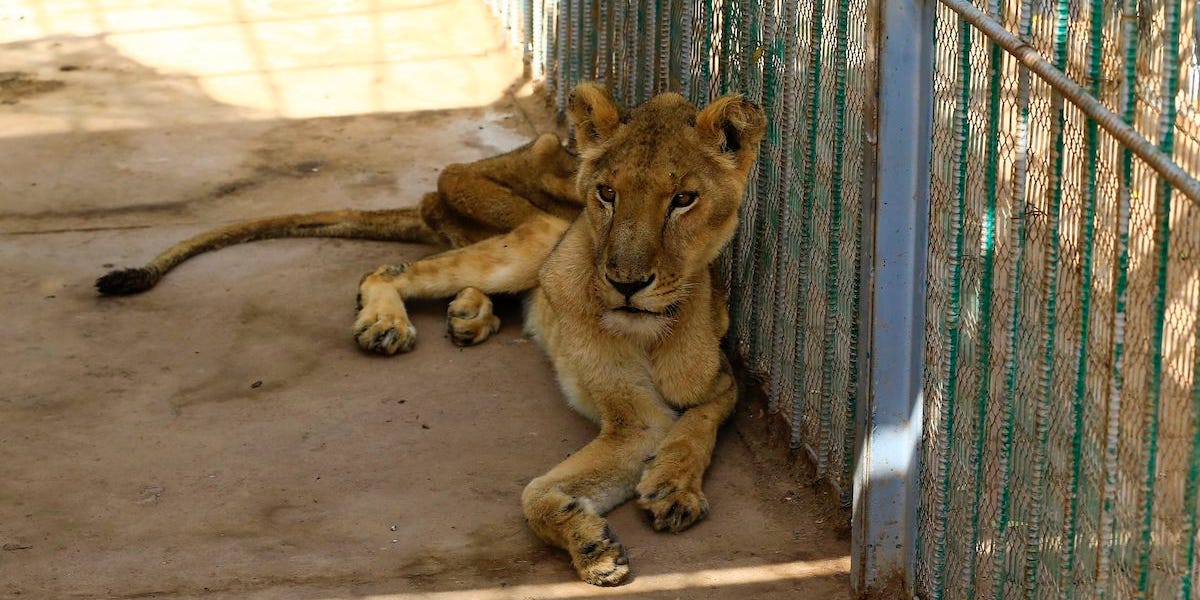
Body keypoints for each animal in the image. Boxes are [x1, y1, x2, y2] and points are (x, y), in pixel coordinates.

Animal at [98, 84, 763, 585]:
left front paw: (672, 487)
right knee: (388, 270)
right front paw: (593, 546)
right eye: (607, 193)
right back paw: (388, 323)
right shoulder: (632, 419)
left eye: (683, 199)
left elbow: (698, 425)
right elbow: (535, 496)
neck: (650, 331)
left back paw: (471, 315)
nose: (626, 282)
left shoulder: (719, 383)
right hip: (538, 233)